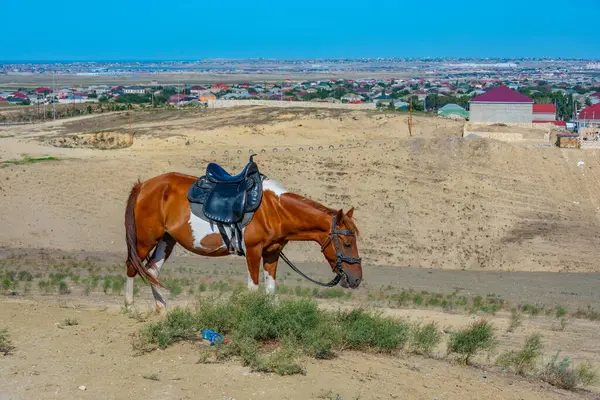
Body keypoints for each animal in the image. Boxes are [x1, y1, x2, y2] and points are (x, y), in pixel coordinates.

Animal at [122, 172, 360, 312]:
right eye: (347, 243)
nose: (356, 279)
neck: (274, 210)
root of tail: (144, 186)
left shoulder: (271, 254)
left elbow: (270, 289)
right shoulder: (253, 252)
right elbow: (253, 288)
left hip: (166, 240)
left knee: (152, 271)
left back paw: (161, 309)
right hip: (144, 240)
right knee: (132, 267)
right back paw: (130, 307)